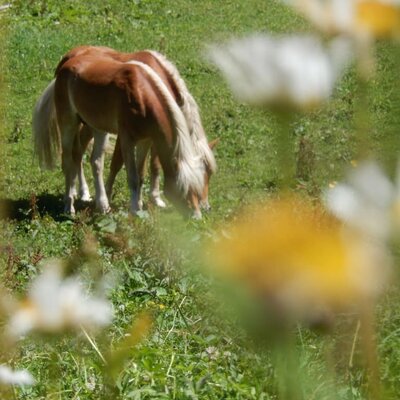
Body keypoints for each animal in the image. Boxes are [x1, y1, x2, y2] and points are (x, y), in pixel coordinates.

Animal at [33, 47, 217, 219]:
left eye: (208, 175)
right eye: (185, 187)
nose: (201, 212)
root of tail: (67, 61)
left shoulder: (148, 138)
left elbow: (146, 170)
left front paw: (149, 201)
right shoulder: (127, 138)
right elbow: (126, 170)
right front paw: (134, 208)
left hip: (96, 126)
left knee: (92, 160)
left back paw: (97, 202)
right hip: (70, 124)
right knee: (69, 160)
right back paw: (71, 204)